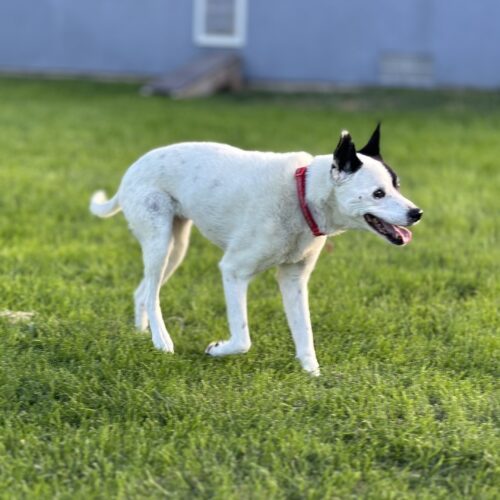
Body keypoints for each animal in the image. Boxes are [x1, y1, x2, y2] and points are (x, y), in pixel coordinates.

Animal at [90, 125, 422, 376]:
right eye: (378, 194)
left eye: (397, 186)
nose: (416, 213)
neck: (302, 194)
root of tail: (131, 171)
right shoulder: (233, 271)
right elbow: (243, 339)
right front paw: (216, 349)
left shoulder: (293, 280)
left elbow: (305, 333)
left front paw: (313, 375)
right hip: (160, 240)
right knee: (151, 293)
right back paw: (162, 341)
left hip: (176, 246)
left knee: (144, 291)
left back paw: (141, 334)